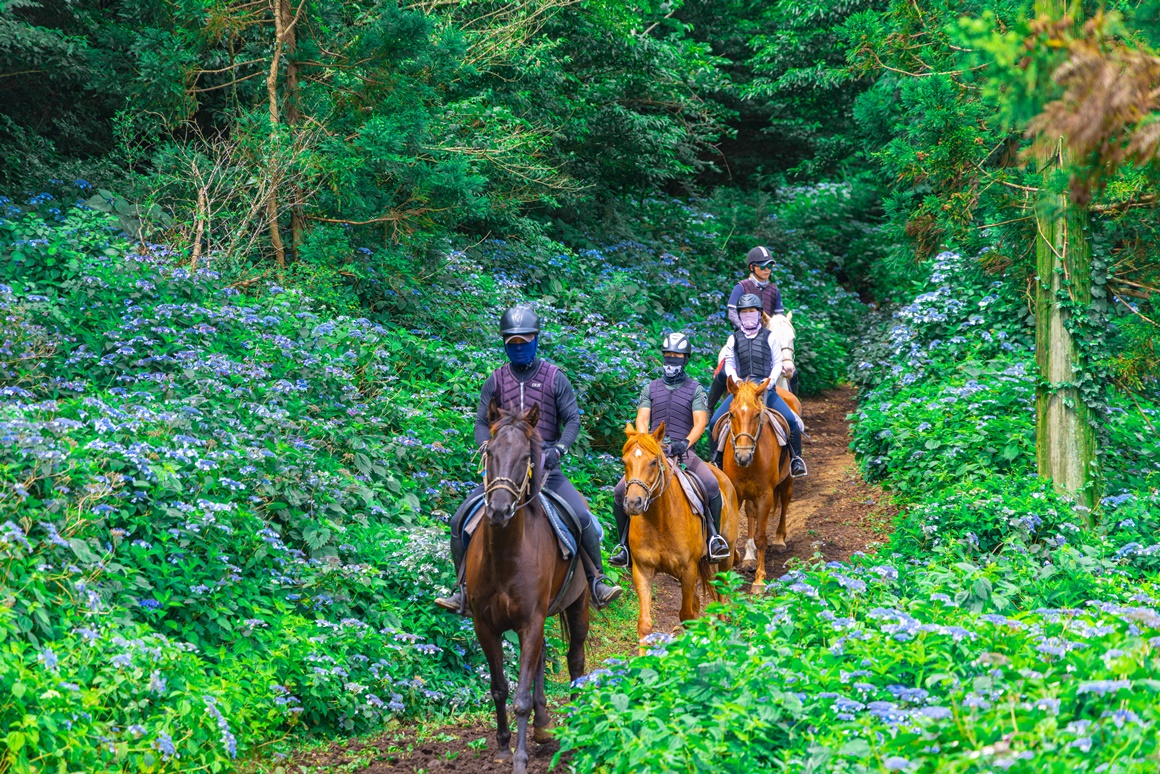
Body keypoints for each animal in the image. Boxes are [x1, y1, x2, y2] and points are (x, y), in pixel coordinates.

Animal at [464, 399, 589, 774]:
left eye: (525, 458)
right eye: (490, 453)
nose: (499, 510)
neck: (505, 557)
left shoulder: (530, 621)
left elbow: (520, 697)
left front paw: (520, 759)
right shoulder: (485, 625)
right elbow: (500, 688)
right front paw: (504, 747)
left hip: (579, 605)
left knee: (575, 659)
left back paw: (574, 723)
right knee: (542, 657)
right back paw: (543, 724)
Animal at [621, 424, 737, 649]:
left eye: (653, 461)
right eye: (624, 462)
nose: (633, 503)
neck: (660, 519)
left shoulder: (688, 569)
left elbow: (686, 616)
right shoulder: (643, 570)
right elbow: (645, 623)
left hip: (725, 559)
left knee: (721, 596)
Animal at [719, 378, 793, 589]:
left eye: (757, 414)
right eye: (731, 414)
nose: (742, 457)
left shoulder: (765, 496)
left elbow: (761, 537)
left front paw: (759, 579)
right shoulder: (736, 492)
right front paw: (736, 562)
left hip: (787, 479)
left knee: (785, 501)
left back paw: (779, 540)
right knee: (751, 512)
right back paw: (749, 557)